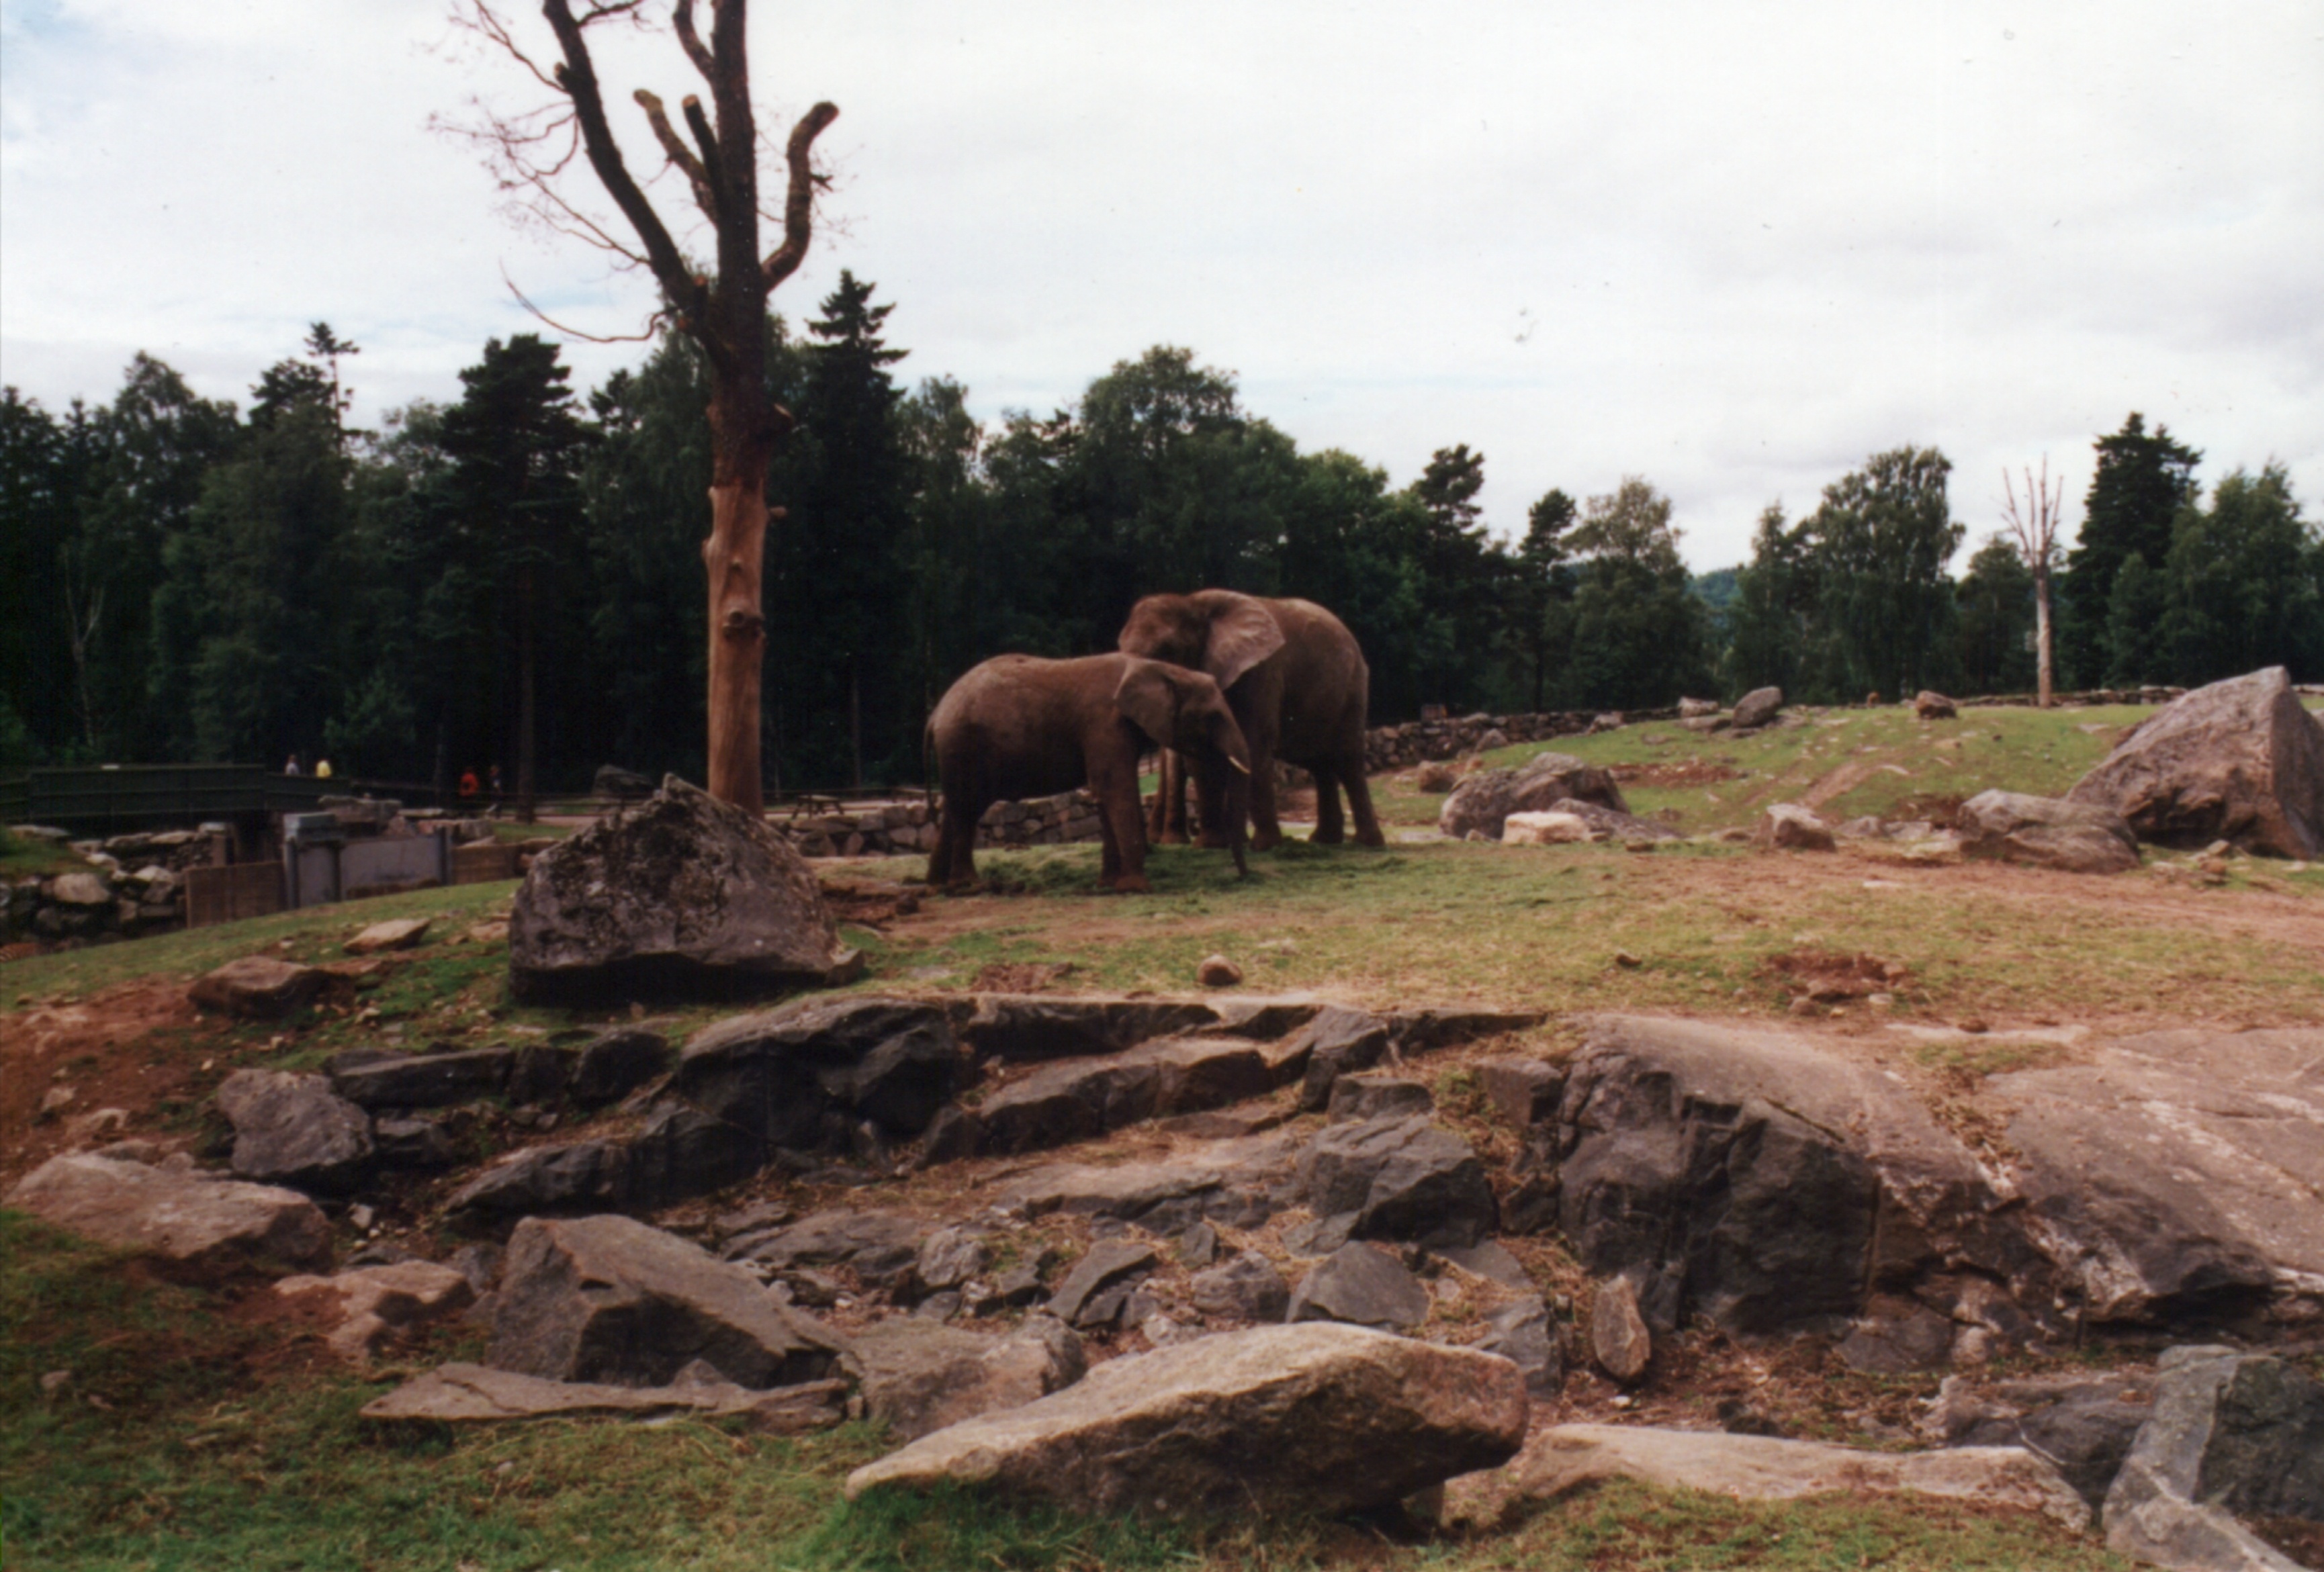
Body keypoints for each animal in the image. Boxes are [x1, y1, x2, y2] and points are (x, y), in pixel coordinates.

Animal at [925, 655, 1255, 896]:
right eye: (1213, 717)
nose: (1243, 878)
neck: (1157, 667)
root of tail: (935, 713)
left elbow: (1104, 793)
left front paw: (1109, 885)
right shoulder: (1104, 724)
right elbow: (1115, 789)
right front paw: (1136, 889)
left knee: (957, 808)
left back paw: (938, 885)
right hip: (962, 745)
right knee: (967, 808)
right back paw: (969, 886)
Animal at [1110, 594, 1376, 854]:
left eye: (1167, 650)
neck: (1193, 602)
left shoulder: (1260, 673)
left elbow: (1254, 746)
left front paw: (1264, 847)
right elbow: (1201, 760)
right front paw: (1210, 846)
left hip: (1353, 689)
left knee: (1348, 760)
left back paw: (1367, 843)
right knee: (1319, 764)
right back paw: (1325, 840)